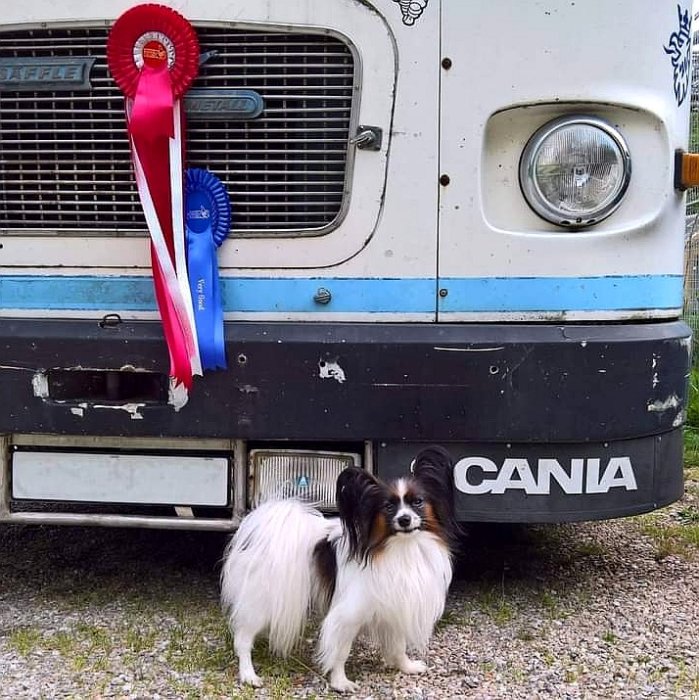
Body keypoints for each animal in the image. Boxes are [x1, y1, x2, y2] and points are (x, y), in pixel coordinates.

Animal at [220, 446, 460, 692]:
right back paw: (249, 675)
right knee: (243, 638)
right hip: (260, 599)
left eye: (418, 502)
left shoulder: (396, 604)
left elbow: (398, 644)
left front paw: (406, 666)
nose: (404, 519)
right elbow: (340, 651)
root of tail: (260, 528)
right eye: (388, 506)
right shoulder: (348, 614)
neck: (402, 548)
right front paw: (340, 682)